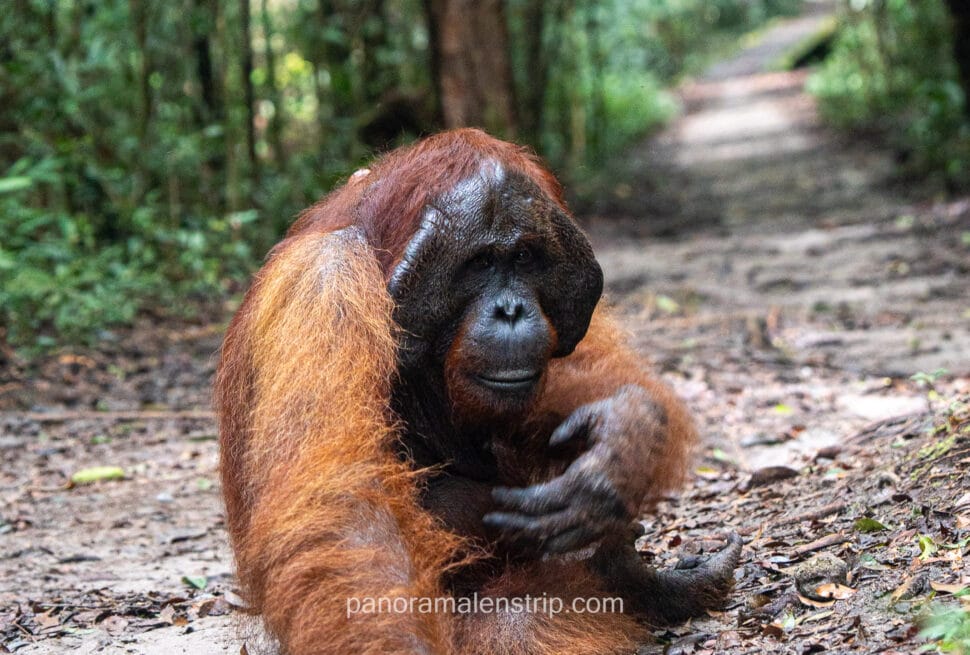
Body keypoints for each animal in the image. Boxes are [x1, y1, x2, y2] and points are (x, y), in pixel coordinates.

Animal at [215, 128, 741, 655]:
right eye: (481, 263)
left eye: (524, 257)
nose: (510, 310)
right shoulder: (323, 288)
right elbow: (347, 509)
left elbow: (579, 371)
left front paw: (624, 439)